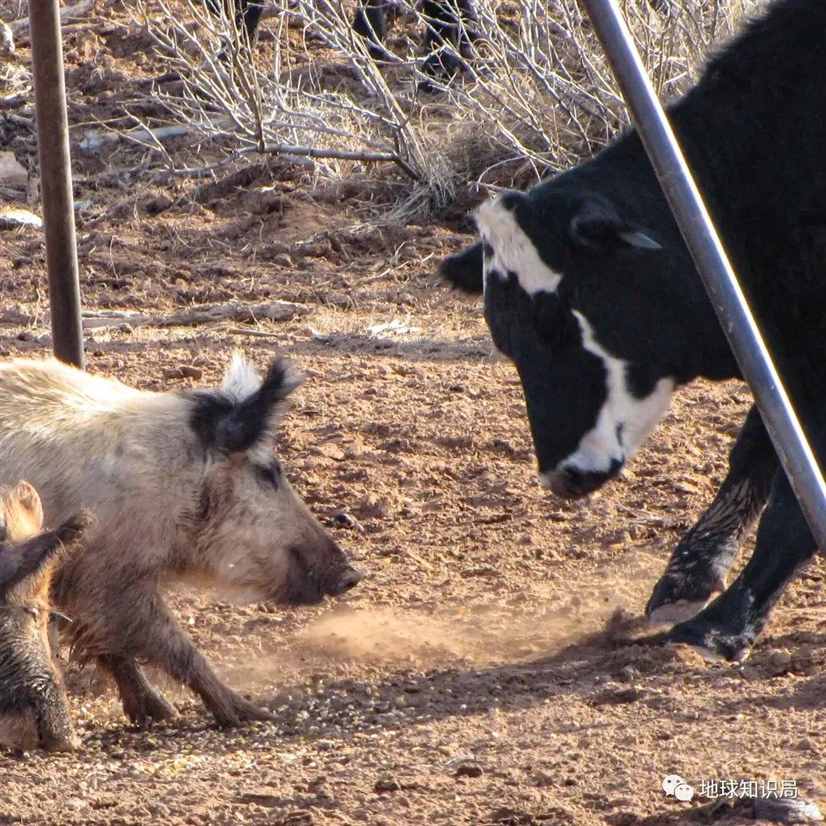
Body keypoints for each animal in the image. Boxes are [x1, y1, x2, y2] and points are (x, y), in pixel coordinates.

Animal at [440, 0, 824, 660]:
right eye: (504, 339)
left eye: (558, 320)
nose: (563, 473)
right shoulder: (780, 349)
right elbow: (757, 450)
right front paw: (689, 576)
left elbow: (793, 502)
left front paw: (723, 623)